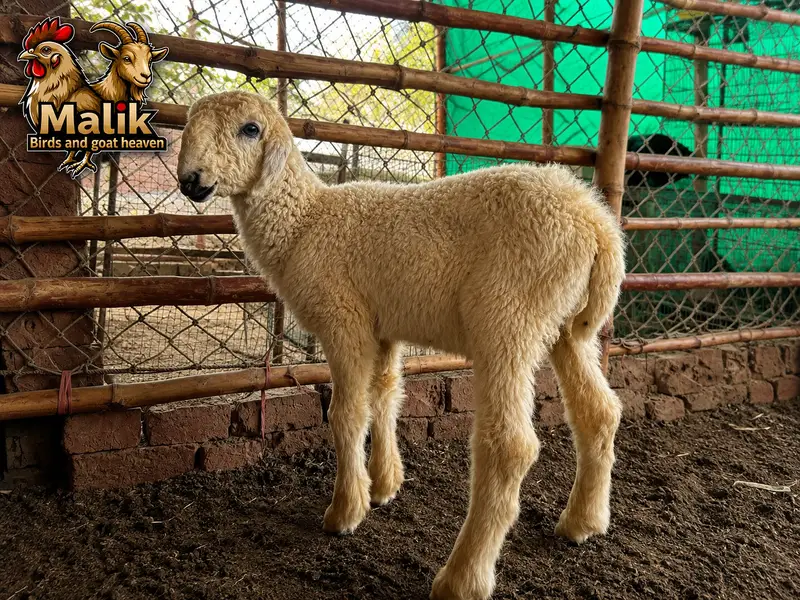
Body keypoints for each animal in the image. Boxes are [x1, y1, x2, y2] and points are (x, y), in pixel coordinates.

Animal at [177, 91, 626, 600]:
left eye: (250, 129)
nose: (190, 180)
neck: (305, 222)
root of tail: (596, 224)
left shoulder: (344, 318)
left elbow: (346, 414)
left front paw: (345, 511)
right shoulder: (383, 325)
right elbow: (385, 397)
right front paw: (384, 485)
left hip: (507, 316)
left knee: (509, 446)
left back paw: (462, 577)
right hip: (566, 326)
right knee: (599, 412)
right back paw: (583, 522)